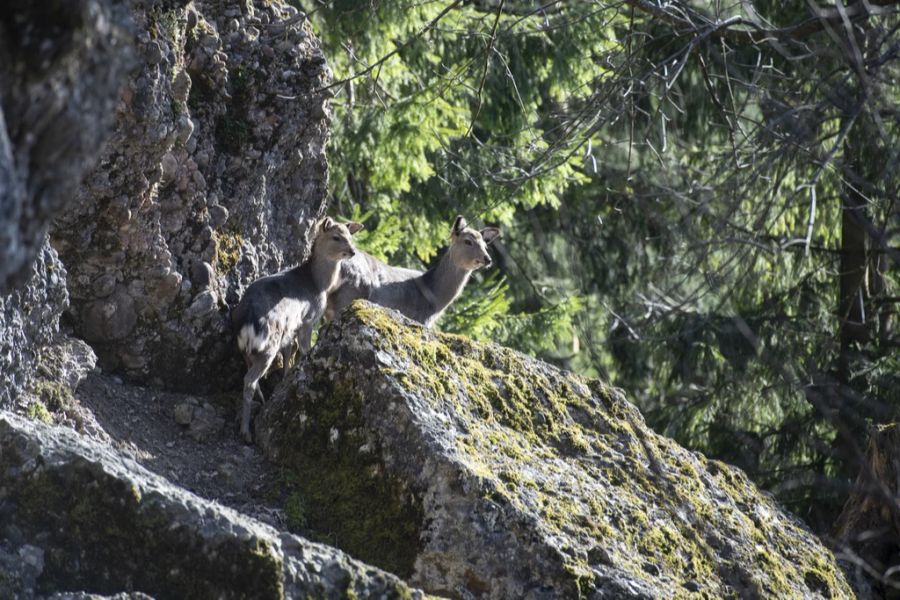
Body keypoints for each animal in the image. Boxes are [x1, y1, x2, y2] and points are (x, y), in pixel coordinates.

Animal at [230, 216, 364, 440]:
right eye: (336, 237)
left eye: (350, 234)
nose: (352, 251)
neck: (318, 285)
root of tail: (248, 319)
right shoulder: (308, 320)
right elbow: (304, 350)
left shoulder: (290, 329)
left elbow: (288, 355)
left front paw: (285, 379)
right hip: (269, 344)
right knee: (249, 380)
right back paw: (246, 432)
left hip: (246, 348)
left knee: (250, 374)